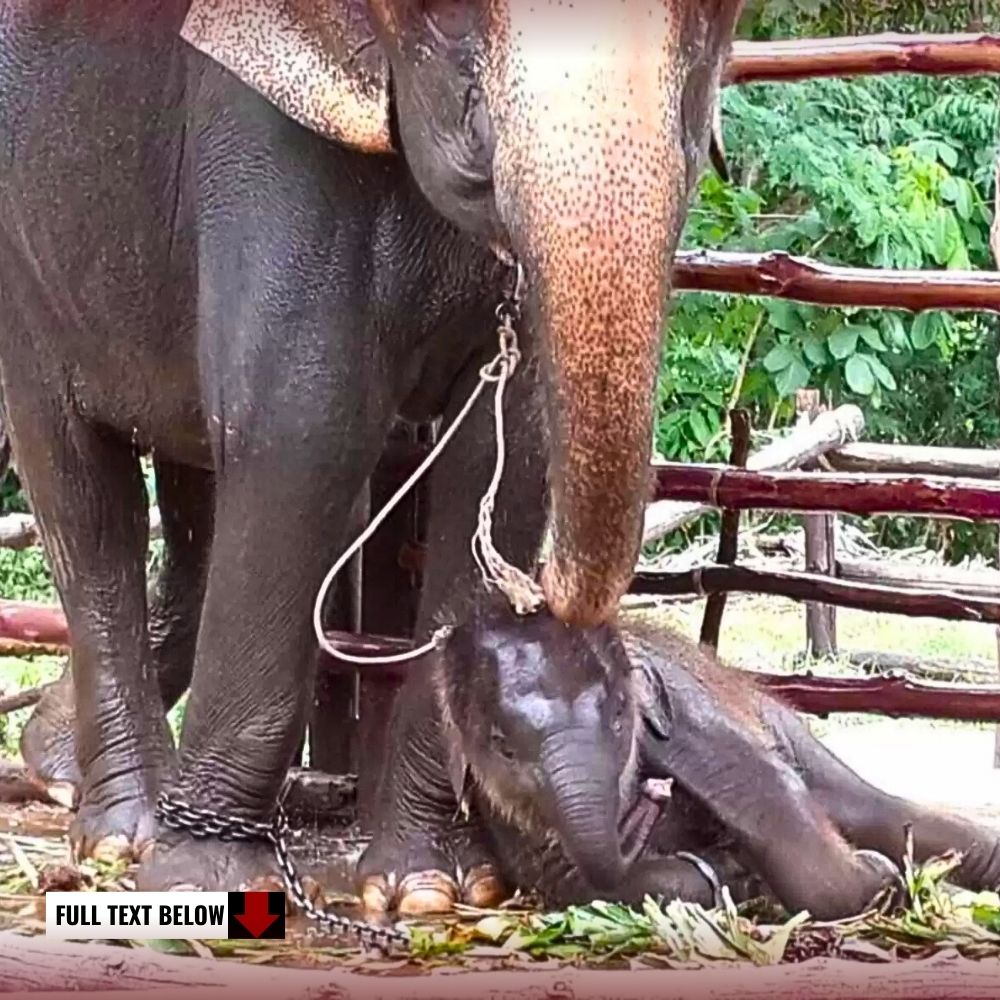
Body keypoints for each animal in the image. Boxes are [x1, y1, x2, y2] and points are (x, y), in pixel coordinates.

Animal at [0, 0, 740, 892]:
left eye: (709, 25)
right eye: (447, 22)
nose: (544, 598)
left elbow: (502, 459)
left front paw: (427, 888)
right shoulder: (258, 131)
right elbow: (302, 427)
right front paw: (204, 876)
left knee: (192, 499)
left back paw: (62, 769)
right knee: (81, 486)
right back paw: (117, 834)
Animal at [364, 596, 1000, 916]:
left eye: (622, 716)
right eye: (502, 746)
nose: (650, 798)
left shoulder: (691, 715)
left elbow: (766, 793)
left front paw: (879, 875)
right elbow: (572, 878)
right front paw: (732, 874)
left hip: (775, 716)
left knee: (869, 807)